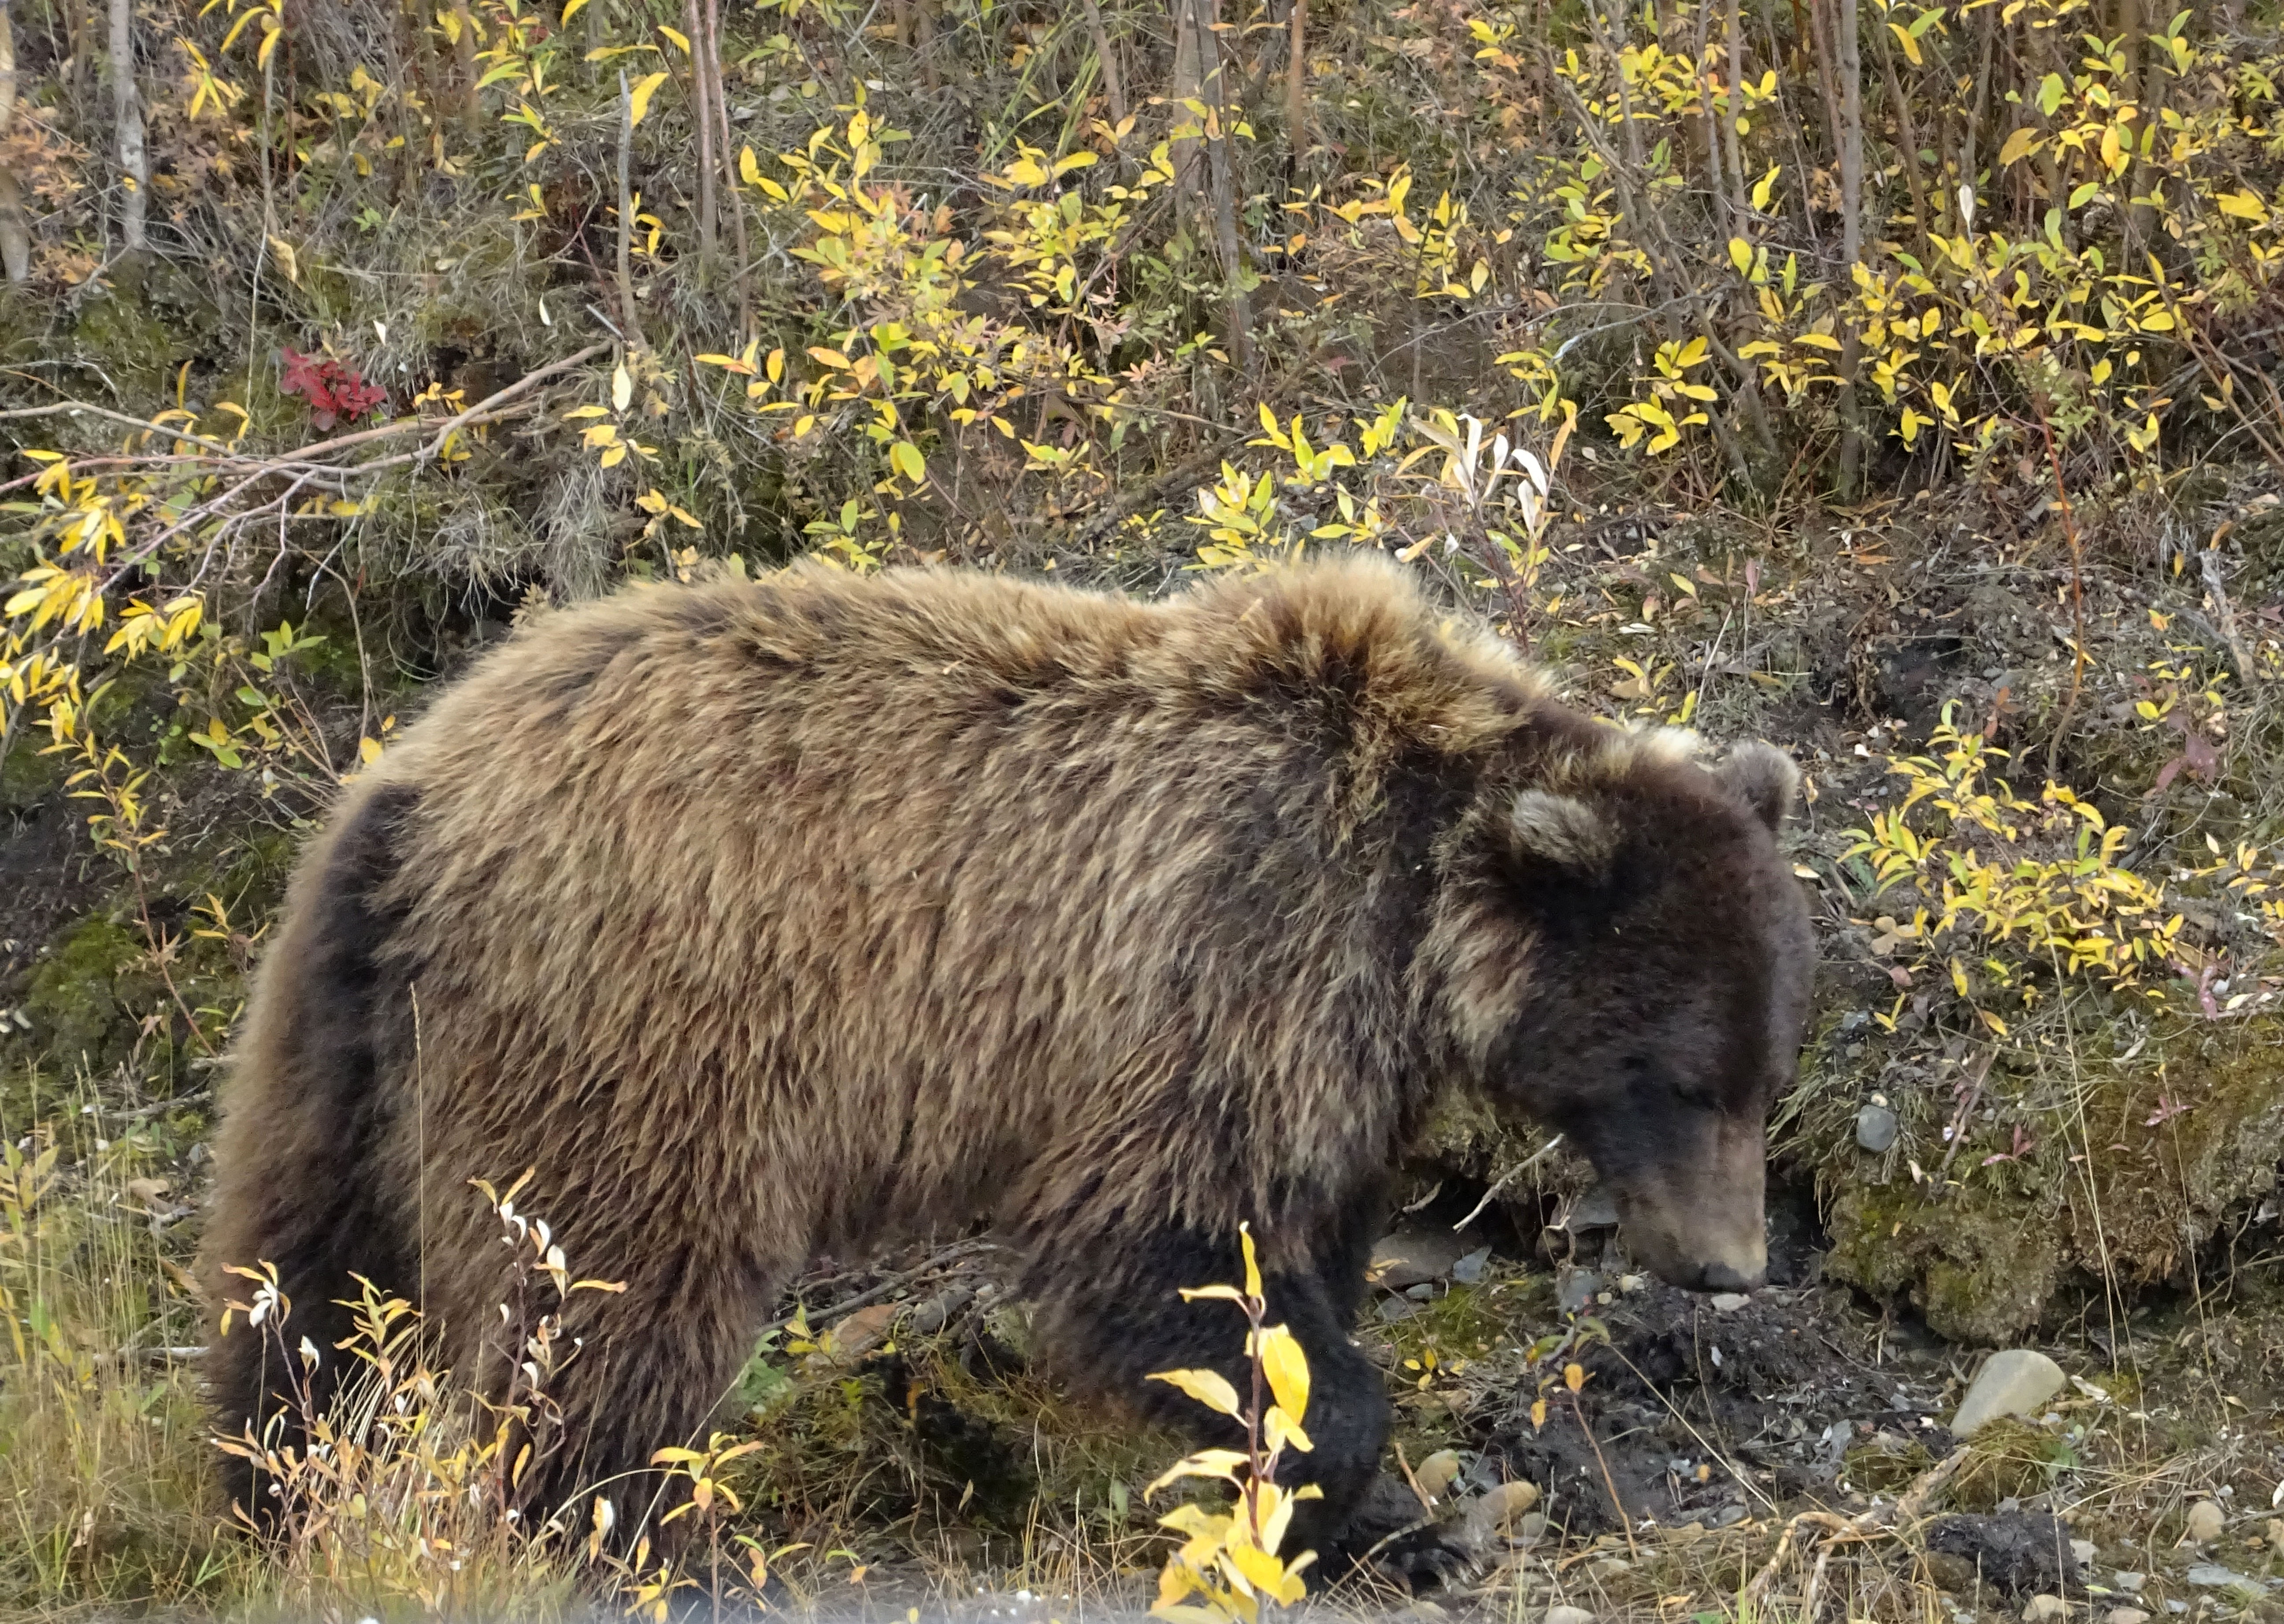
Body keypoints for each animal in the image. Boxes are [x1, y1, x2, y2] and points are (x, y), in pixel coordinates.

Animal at [201, 554, 1813, 1569]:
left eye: (1764, 1065)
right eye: (1681, 1073)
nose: (1731, 1260)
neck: (1406, 914)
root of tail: (413, 783)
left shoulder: (1337, 1067)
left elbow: (1295, 1267)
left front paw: (1374, 1523)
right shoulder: (1221, 964)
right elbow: (1168, 1258)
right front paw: (1332, 1483)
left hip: (352, 1040)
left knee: (297, 1289)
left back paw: (268, 1493)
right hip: (638, 1031)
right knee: (605, 1295)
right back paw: (618, 1528)